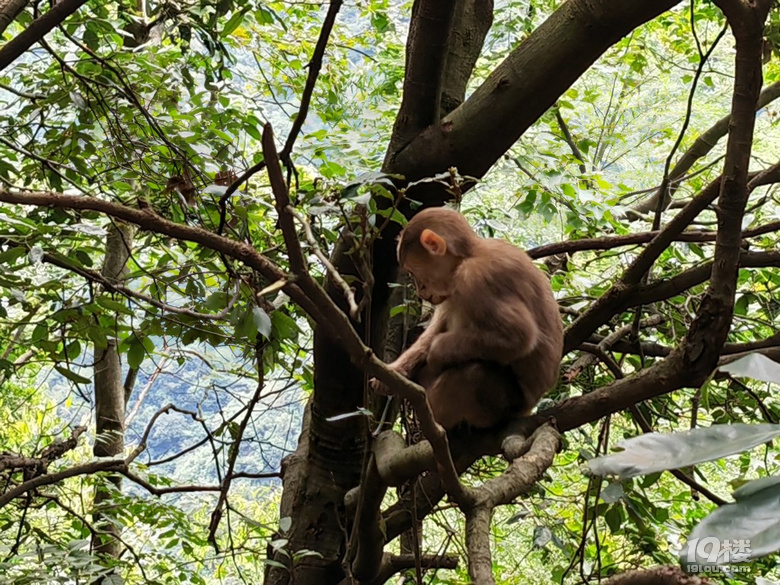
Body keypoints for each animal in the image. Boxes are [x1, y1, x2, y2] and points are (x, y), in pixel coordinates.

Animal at [370, 206, 560, 428]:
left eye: (414, 272)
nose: (420, 291)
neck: (468, 256)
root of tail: (528, 409)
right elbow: (437, 327)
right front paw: (393, 373)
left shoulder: (475, 278)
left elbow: (519, 337)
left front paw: (436, 351)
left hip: (504, 404)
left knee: (474, 374)